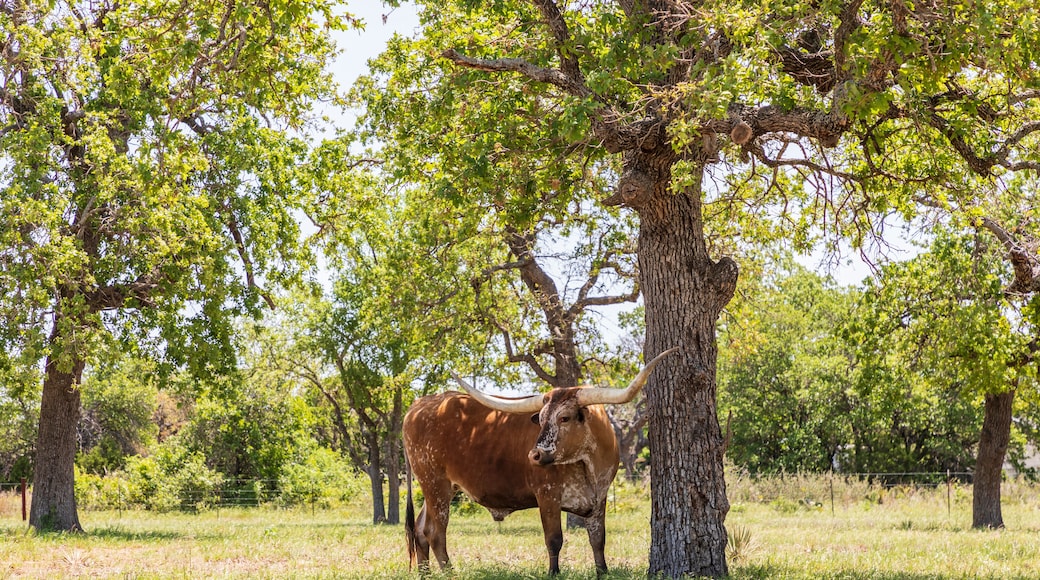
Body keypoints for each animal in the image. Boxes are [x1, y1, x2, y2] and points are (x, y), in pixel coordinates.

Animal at [403, 347, 678, 576]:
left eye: (565, 418)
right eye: (542, 418)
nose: (534, 455)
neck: (587, 465)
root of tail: (418, 405)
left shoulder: (599, 498)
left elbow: (598, 539)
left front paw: (603, 572)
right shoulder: (547, 495)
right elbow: (554, 539)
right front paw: (553, 573)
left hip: (441, 488)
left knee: (420, 530)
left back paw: (425, 574)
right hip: (435, 484)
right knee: (435, 532)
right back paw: (449, 573)